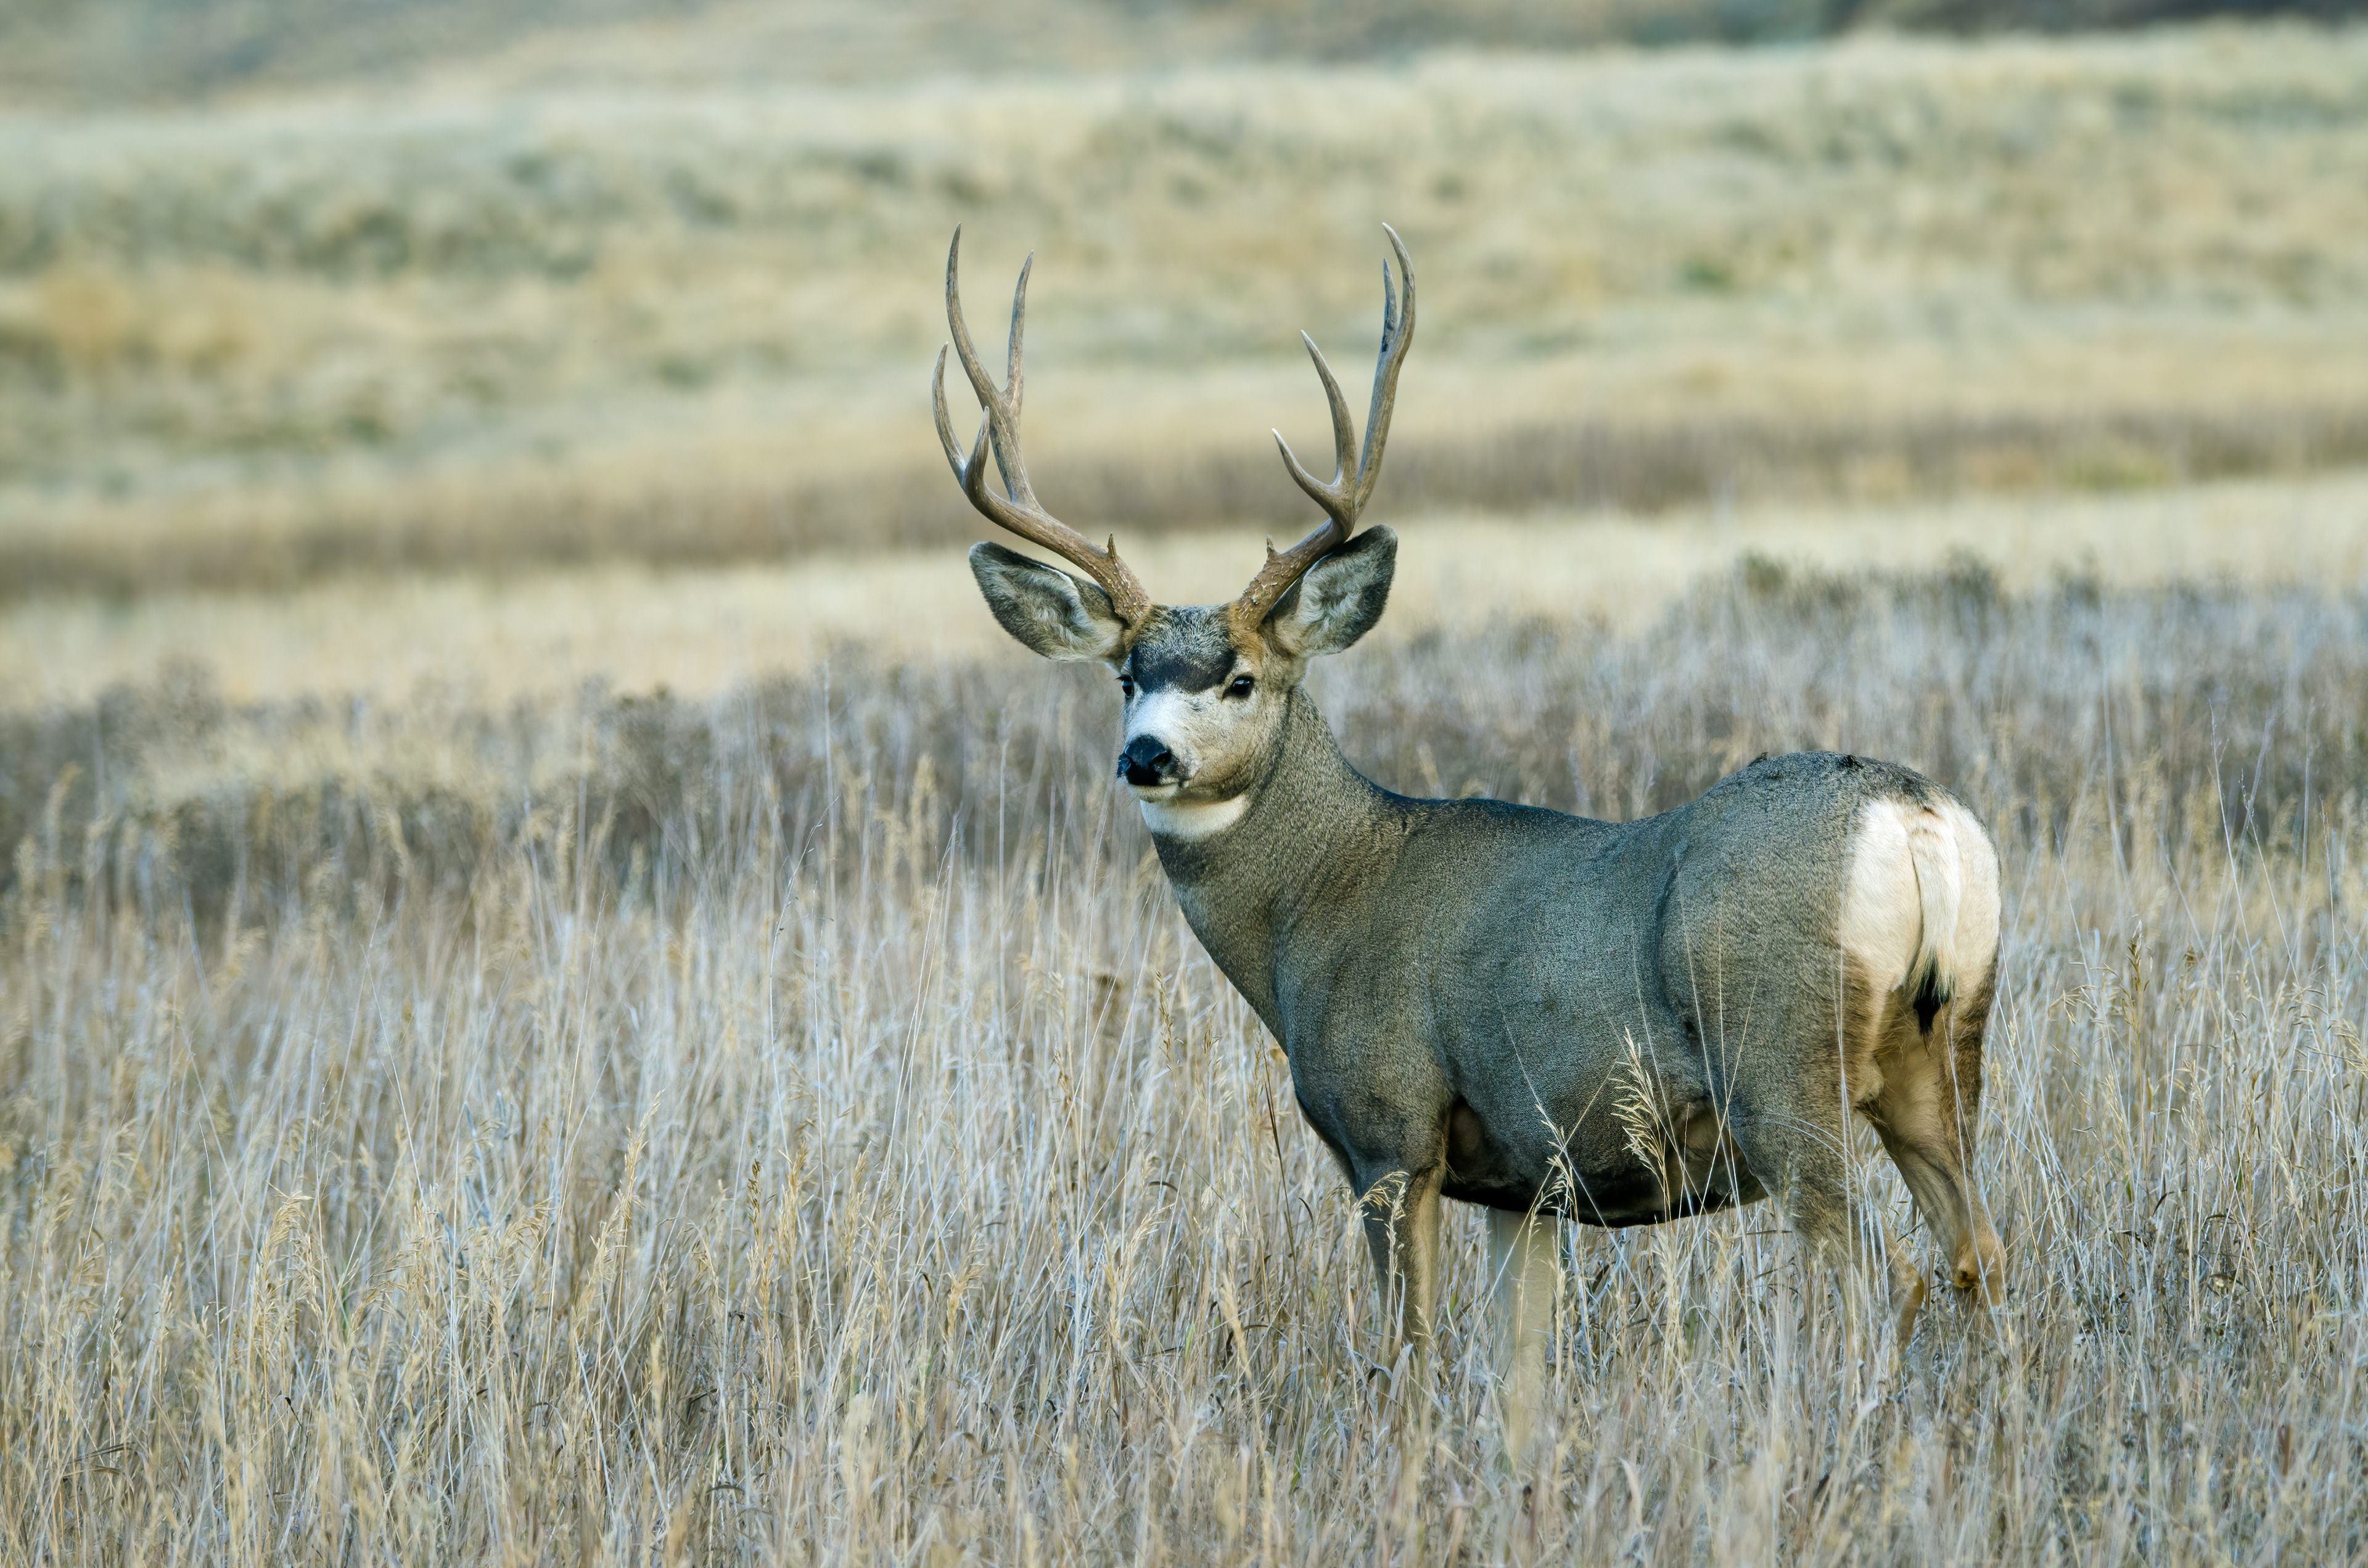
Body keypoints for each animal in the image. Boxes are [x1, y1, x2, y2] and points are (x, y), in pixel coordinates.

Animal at [931, 224, 2006, 1409]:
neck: (1320, 902)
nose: (1146, 756)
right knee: (1981, 1252)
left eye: (1243, 677)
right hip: (1944, 1045)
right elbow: (1516, 1369)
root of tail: (1914, 818)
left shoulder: (1390, 1126)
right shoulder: (1522, 1182)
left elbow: (1412, 1349)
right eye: (1126, 676)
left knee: (1888, 1271)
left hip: (1782, 1059)